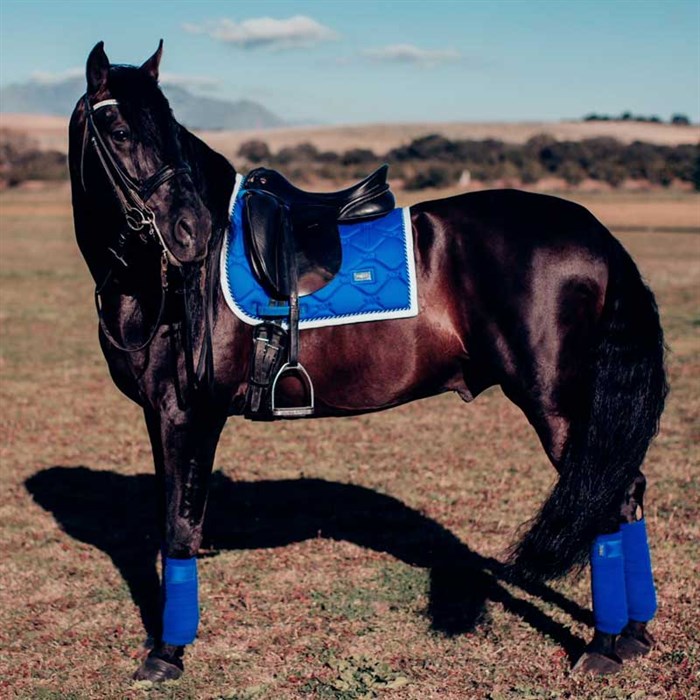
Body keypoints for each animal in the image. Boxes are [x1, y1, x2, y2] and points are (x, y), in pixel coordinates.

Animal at [69, 41, 668, 680]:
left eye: (170, 129)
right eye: (119, 129)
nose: (192, 233)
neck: (154, 282)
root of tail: (597, 236)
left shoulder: (187, 414)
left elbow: (179, 529)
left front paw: (166, 654)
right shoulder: (163, 416)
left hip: (557, 406)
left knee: (606, 500)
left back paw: (603, 647)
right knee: (625, 492)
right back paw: (633, 635)